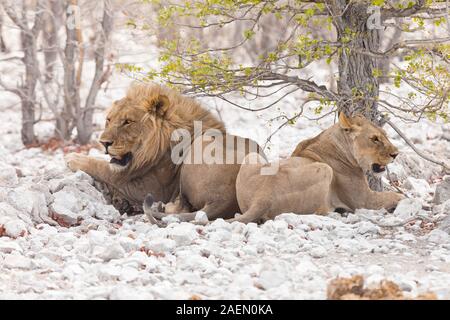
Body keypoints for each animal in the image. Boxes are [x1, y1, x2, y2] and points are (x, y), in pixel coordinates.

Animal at [66, 83, 264, 220]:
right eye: (108, 120)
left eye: (128, 122)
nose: (104, 143)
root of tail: (222, 199)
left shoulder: (150, 187)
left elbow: (104, 169)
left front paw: (73, 158)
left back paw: (161, 207)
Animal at [229, 112, 404, 222]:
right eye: (374, 139)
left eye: (385, 134)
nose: (396, 154)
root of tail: (262, 197)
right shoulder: (364, 200)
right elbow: (395, 196)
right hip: (325, 170)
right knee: (317, 212)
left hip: (252, 156)